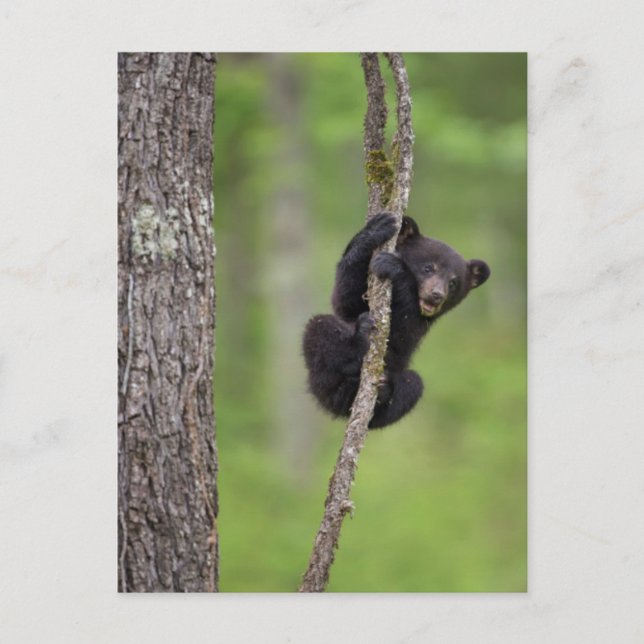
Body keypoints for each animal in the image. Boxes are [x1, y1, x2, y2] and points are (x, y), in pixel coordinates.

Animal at [302, 212, 490, 429]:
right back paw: (357, 343)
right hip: (322, 380)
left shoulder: (419, 324)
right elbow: (345, 300)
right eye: (428, 268)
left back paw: (382, 392)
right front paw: (376, 229)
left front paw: (394, 267)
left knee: (413, 385)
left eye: (453, 282)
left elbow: (403, 333)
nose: (436, 295)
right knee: (320, 327)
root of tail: (336, 405)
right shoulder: (354, 301)